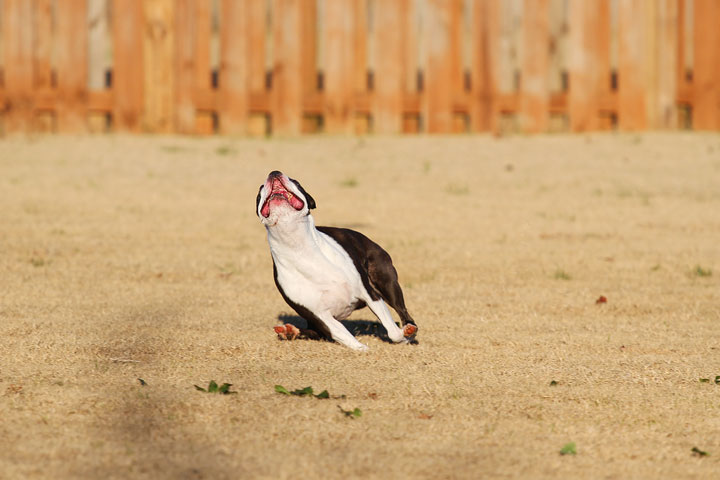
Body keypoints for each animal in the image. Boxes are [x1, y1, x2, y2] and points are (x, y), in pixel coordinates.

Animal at [258, 171, 416, 350]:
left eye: (296, 182)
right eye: (260, 190)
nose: (274, 172)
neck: (298, 246)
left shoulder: (370, 294)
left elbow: (392, 330)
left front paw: (402, 337)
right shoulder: (320, 316)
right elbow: (343, 335)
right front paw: (361, 348)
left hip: (386, 281)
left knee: (402, 310)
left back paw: (409, 330)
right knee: (315, 332)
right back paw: (290, 331)